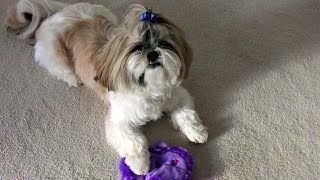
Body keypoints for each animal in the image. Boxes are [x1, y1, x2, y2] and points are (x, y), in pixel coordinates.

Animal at [6, 0, 210, 174]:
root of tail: (58, 14)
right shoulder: (118, 122)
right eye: (137, 48)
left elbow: (187, 114)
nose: (152, 53)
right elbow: (134, 142)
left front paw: (197, 132)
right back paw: (73, 78)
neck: (148, 88)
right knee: (60, 68)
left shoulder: (178, 95)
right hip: (54, 53)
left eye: (164, 44)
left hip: (104, 13)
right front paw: (140, 165)